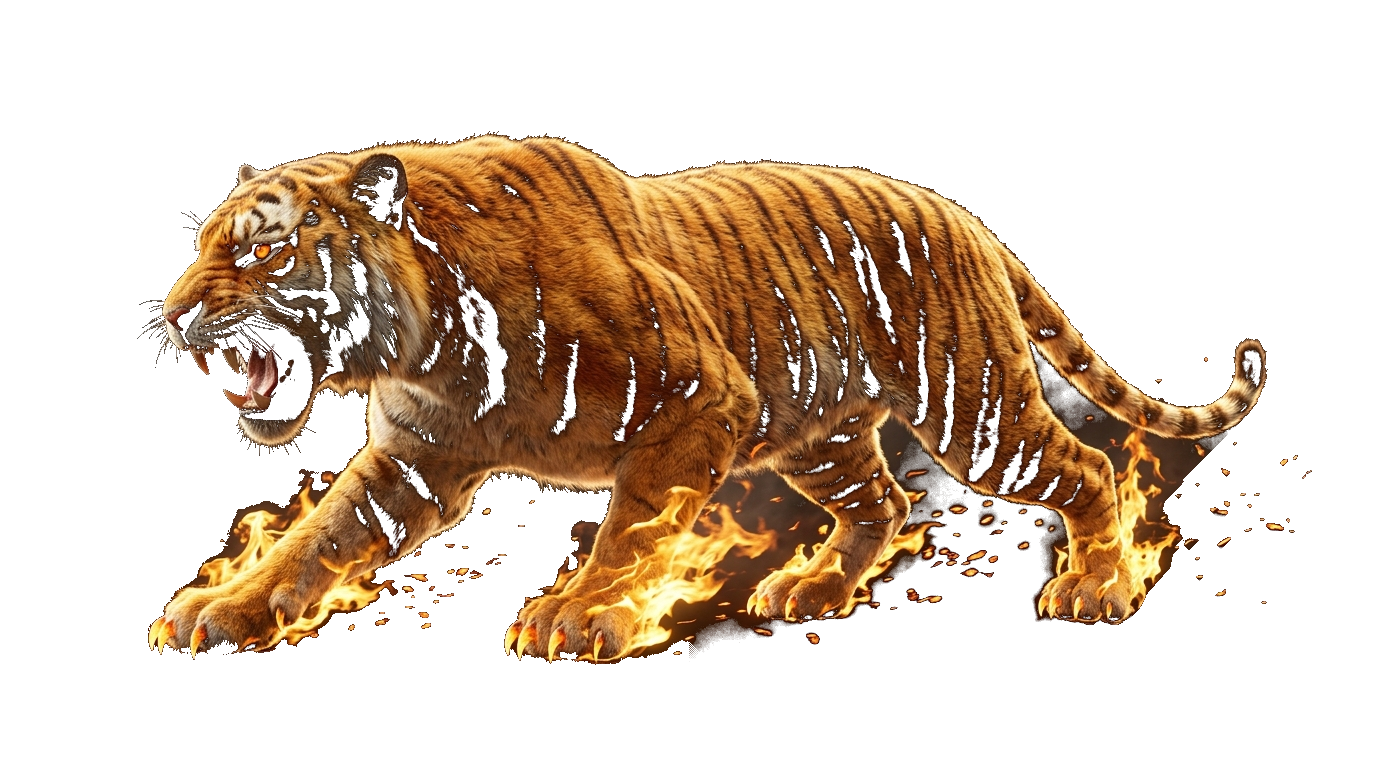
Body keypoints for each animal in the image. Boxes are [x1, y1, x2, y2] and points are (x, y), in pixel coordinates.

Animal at [151, 135, 1265, 659]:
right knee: (888, 502)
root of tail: (962, 210)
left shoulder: (698, 404)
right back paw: (810, 590)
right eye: (198, 245)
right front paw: (221, 610)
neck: (427, 339)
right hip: (821, 437)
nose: (169, 315)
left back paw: (1098, 587)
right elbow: (316, 539)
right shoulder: (415, 457)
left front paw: (577, 618)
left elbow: (630, 533)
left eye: (258, 250)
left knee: (1084, 466)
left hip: (974, 407)